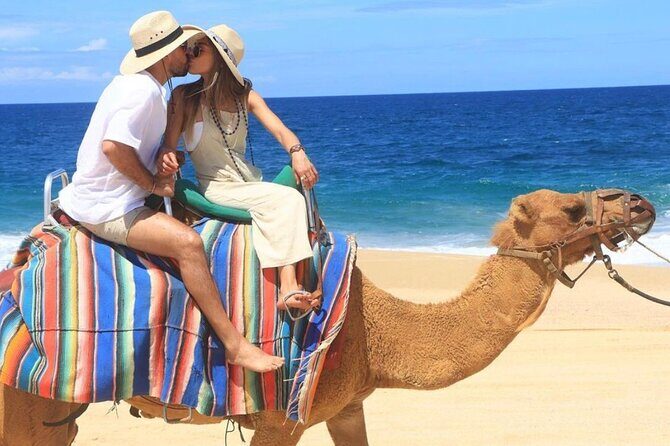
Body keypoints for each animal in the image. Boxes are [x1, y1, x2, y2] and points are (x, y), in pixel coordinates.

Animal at [0, 188, 656, 446]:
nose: (641, 204)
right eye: (572, 210)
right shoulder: (279, 416)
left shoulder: (347, 404)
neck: (375, 331)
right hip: (23, 400)